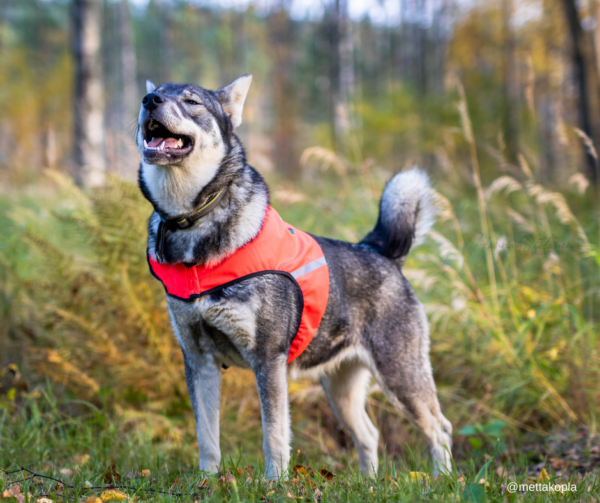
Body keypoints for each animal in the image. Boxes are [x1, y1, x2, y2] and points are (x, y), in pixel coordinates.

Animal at [136, 73, 452, 478]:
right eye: (152, 94)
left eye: (192, 101)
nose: (149, 101)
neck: (193, 224)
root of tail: (380, 251)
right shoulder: (199, 360)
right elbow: (206, 437)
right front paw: (206, 482)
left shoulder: (268, 360)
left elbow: (274, 436)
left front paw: (274, 483)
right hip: (341, 389)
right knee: (369, 434)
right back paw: (368, 483)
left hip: (401, 377)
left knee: (439, 429)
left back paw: (442, 480)